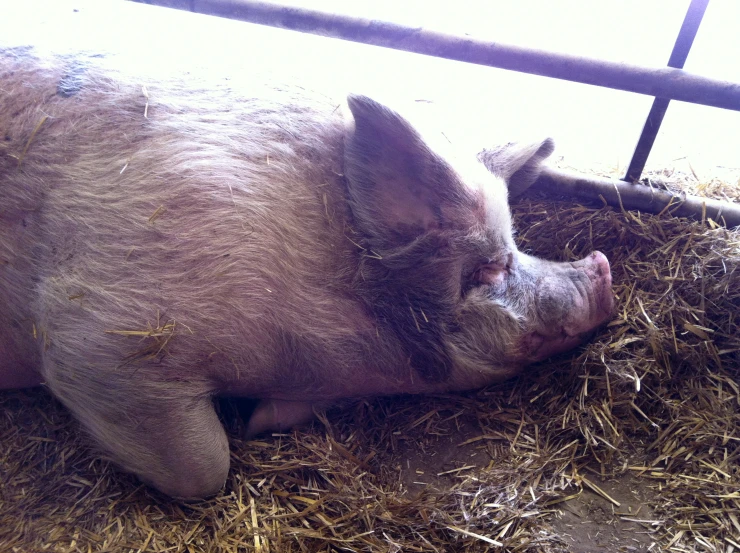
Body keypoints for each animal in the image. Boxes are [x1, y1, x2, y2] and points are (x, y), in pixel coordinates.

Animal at [0, 46, 612, 496]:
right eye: (488, 268)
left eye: (517, 248)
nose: (602, 266)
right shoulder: (100, 334)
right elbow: (206, 471)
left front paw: (255, 423)